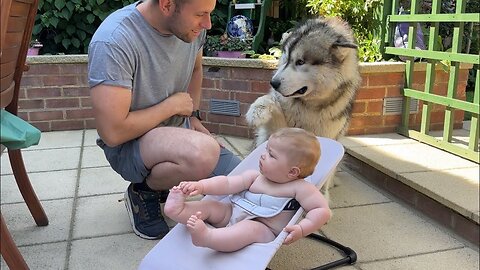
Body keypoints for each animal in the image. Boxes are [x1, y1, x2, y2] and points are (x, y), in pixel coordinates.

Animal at [248, 17, 360, 198]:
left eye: (300, 62)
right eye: (285, 59)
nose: (273, 83)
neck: (309, 106)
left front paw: (322, 194)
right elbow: (272, 104)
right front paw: (258, 109)